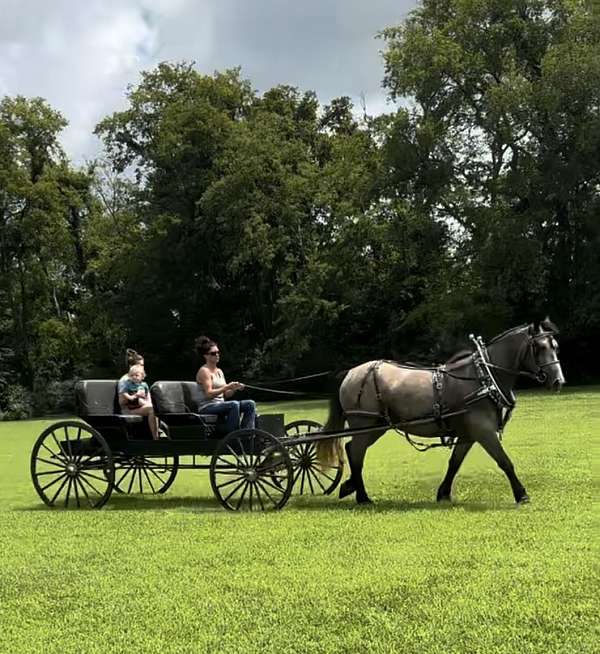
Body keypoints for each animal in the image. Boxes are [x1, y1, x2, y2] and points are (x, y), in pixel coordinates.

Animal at [316, 320, 564, 504]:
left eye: (555, 346)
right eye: (539, 348)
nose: (558, 381)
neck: (483, 377)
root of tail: (351, 373)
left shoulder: (468, 434)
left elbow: (454, 463)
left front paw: (443, 493)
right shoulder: (484, 431)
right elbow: (504, 461)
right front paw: (521, 494)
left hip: (377, 426)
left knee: (352, 449)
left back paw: (351, 487)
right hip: (365, 424)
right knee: (356, 452)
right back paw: (362, 496)